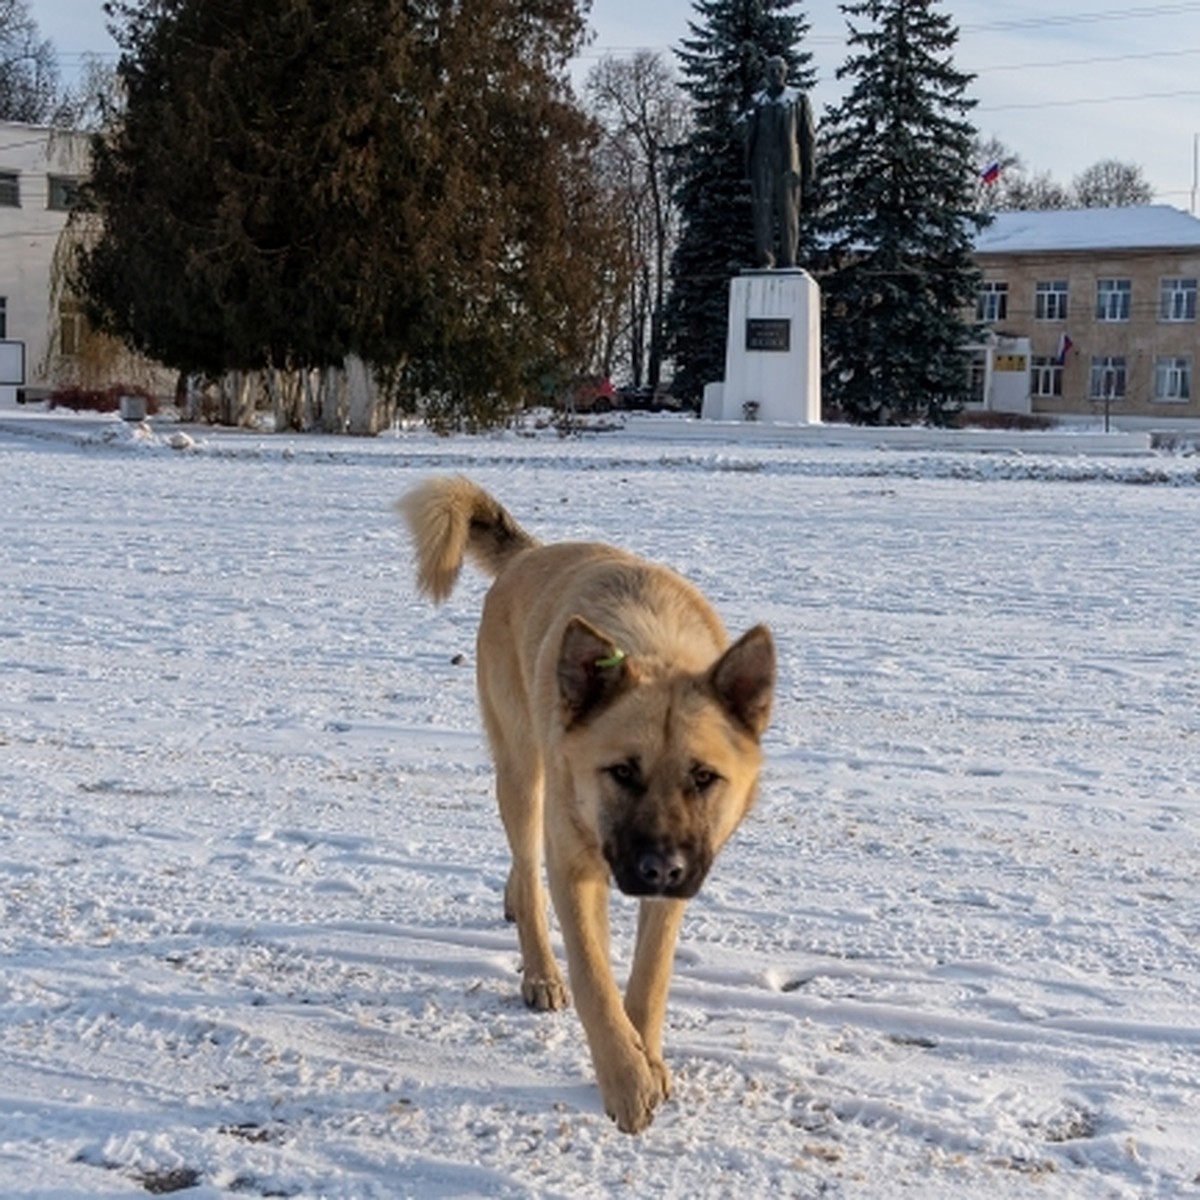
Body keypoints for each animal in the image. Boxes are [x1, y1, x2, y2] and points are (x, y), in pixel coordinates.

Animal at [398, 472, 772, 1128]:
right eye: (621, 772)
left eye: (704, 778)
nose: (660, 869)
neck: (653, 651)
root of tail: (531, 554)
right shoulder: (576, 866)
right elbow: (595, 979)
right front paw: (625, 1080)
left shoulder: (676, 881)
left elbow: (649, 977)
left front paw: (647, 1056)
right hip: (522, 775)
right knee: (528, 870)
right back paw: (540, 970)